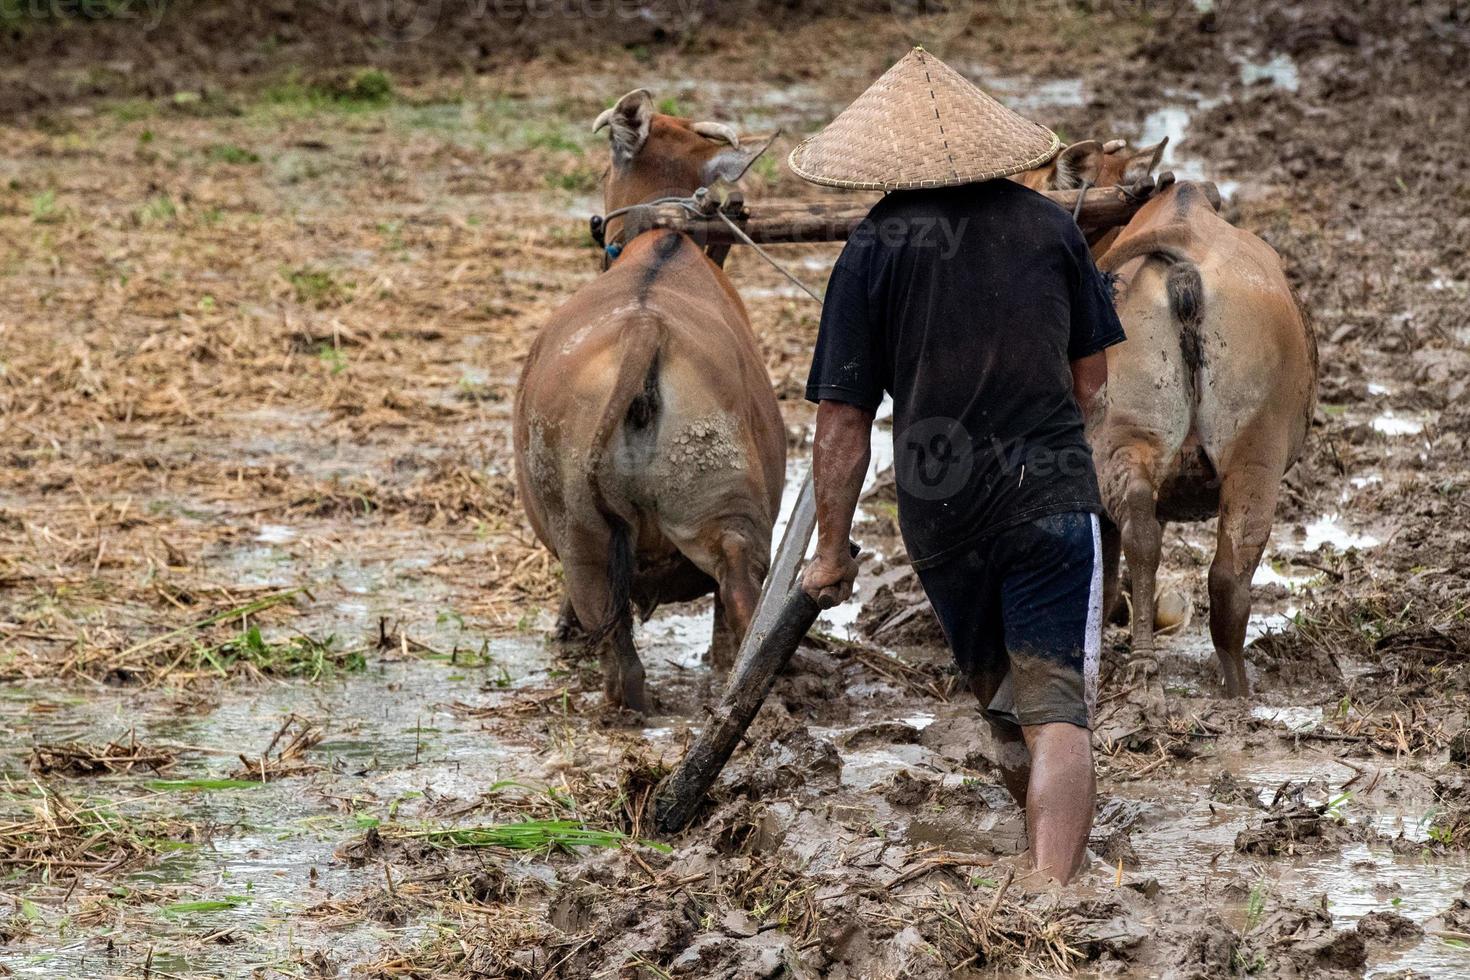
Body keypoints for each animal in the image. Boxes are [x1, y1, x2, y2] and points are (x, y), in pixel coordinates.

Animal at [514, 89, 787, 714]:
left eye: (604, 171)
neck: (667, 239)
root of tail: (646, 331)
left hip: (585, 533)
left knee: (628, 649)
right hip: (717, 512)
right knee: (735, 598)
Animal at [1023, 143, 1323, 696]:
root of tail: (1183, 252)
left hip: (1129, 437)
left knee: (1141, 525)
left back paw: (1143, 660)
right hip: (1255, 453)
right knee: (1228, 575)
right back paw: (1236, 689)